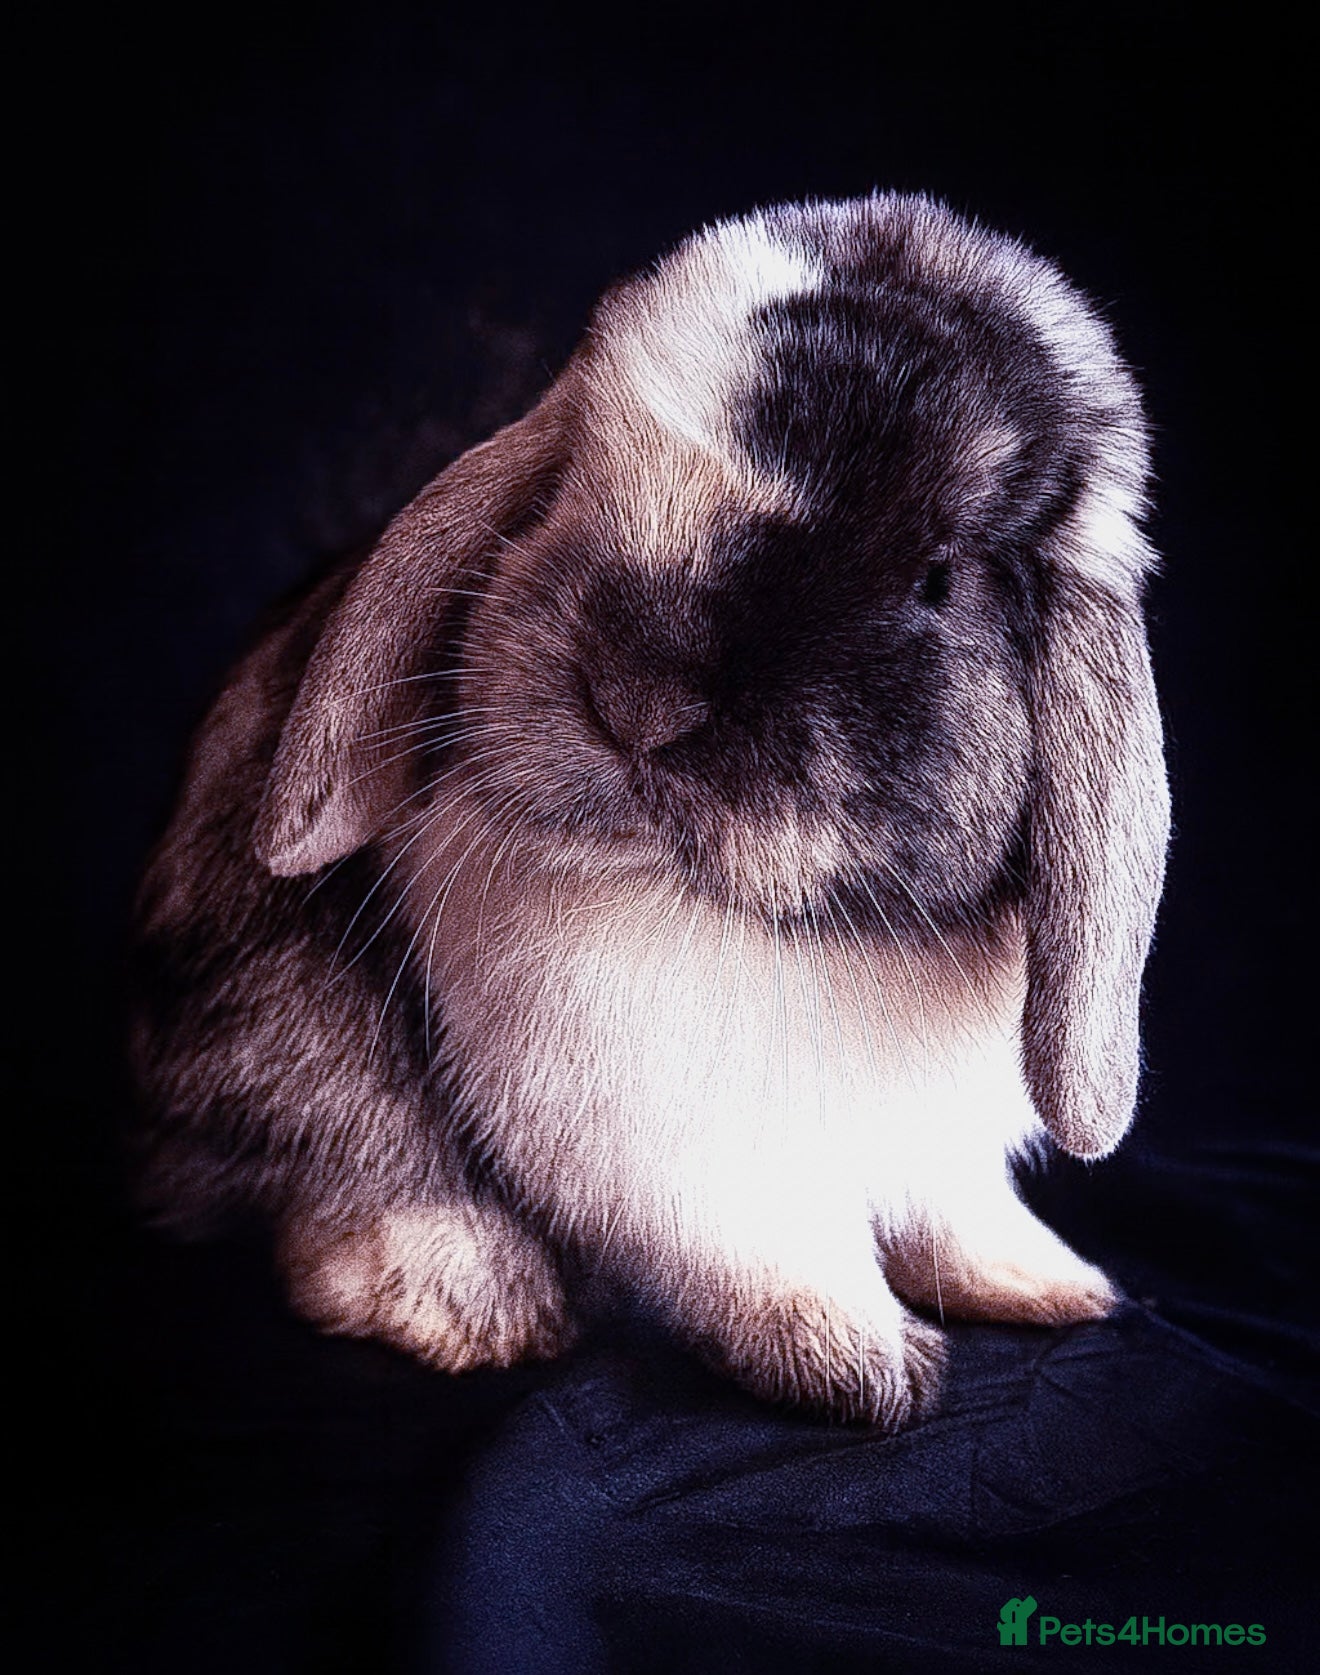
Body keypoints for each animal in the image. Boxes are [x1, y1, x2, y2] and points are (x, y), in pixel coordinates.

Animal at [131, 193, 1170, 1428]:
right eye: (575, 479)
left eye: (939, 578)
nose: (639, 697)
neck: (813, 931)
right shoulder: (674, 1134)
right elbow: (772, 1246)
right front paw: (861, 1357)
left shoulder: (937, 1144)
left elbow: (957, 1213)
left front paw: (1047, 1283)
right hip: (282, 1021)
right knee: (342, 1170)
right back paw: (471, 1299)